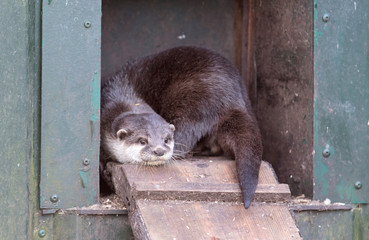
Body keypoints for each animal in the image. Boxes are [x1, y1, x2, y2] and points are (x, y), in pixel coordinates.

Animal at [100, 46, 262, 208]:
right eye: (142, 141)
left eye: (166, 139)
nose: (159, 151)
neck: (123, 100)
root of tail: (233, 96)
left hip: (192, 102)